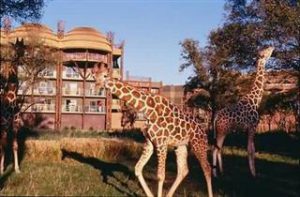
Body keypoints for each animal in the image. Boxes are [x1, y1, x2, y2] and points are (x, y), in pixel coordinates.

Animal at [92, 63, 212, 197]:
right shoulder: (149, 142)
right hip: (181, 146)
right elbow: (137, 169)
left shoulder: (161, 143)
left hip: (199, 145)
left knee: (207, 169)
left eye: (105, 76)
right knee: (183, 170)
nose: (96, 89)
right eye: (93, 77)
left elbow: (160, 176)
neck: (148, 109)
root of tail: (203, 129)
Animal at [212, 46, 276, 177]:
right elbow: (250, 150)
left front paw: (253, 172)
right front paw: (253, 174)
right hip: (222, 131)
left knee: (218, 148)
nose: (272, 46)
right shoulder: (252, 127)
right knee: (215, 149)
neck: (255, 100)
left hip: (223, 131)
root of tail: (216, 117)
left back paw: (222, 171)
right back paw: (215, 174)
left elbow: (252, 149)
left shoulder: (249, 129)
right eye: (265, 51)